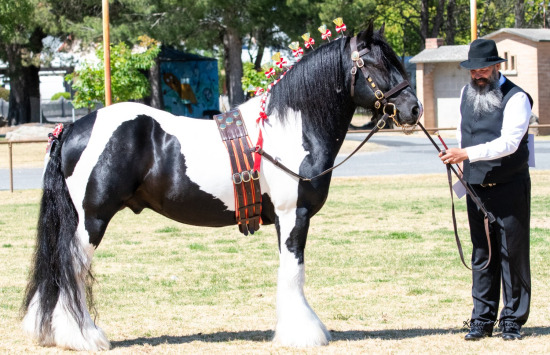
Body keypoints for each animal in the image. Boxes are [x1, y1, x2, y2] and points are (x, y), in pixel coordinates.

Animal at [20, 23, 422, 354]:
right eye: (375, 64)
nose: (414, 110)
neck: (288, 128)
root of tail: (71, 129)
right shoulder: (294, 215)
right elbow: (294, 270)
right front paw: (304, 333)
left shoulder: (285, 219)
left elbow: (288, 270)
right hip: (93, 219)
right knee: (72, 268)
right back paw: (83, 336)